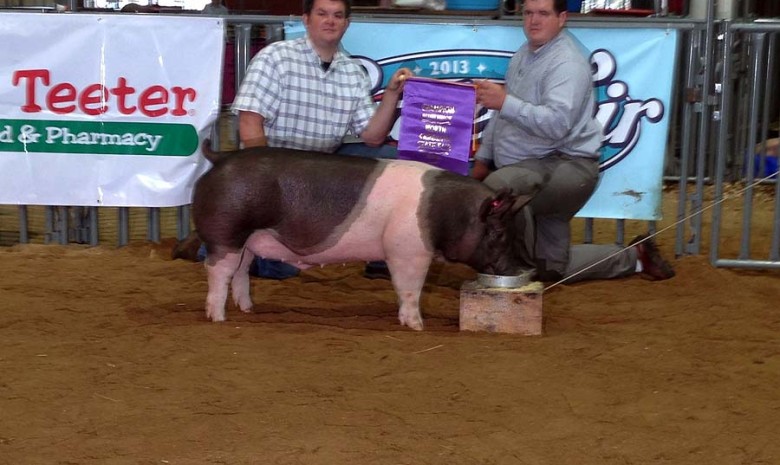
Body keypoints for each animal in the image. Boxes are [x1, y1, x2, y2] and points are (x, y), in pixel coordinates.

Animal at [195, 145, 536, 330]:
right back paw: (218, 318)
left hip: (247, 240)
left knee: (240, 272)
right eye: (499, 232)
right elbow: (409, 288)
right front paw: (417, 326)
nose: (515, 269)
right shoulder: (407, 250)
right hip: (226, 232)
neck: (445, 213)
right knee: (218, 272)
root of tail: (220, 157)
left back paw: (248, 310)